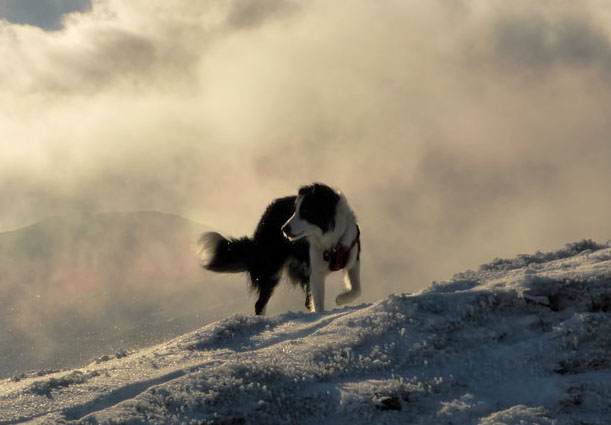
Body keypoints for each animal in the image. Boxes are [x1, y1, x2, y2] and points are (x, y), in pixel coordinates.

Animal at [198, 182, 360, 314]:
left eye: (305, 211)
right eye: (295, 211)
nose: (284, 229)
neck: (331, 239)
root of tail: (266, 215)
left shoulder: (352, 258)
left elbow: (357, 289)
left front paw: (341, 298)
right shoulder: (315, 271)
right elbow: (319, 302)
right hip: (271, 270)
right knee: (260, 304)